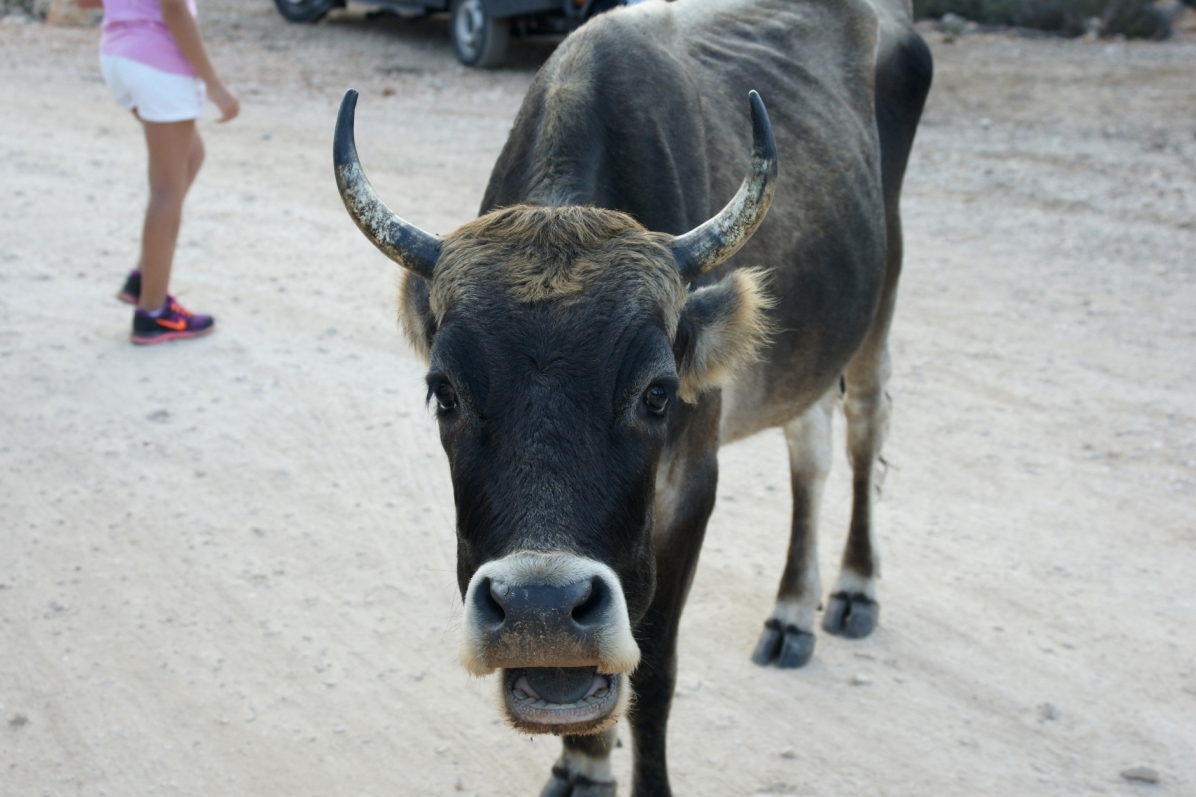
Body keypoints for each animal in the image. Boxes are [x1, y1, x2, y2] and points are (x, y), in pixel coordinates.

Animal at [332, 0, 928, 789]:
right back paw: (793, 610)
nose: (541, 609)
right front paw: (584, 766)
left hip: (879, 295)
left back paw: (856, 587)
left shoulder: (690, 482)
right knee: (811, 447)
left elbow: (654, 672)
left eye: (657, 393)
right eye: (444, 392)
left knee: (864, 424)